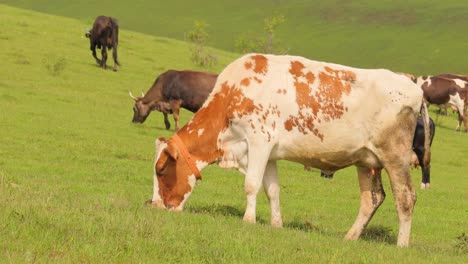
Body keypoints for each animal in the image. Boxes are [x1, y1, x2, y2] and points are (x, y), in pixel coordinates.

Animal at [148, 53, 430, 248]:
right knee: (372, 198)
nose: (155, 206)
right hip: (367, 161)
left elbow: (251, 184)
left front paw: (248, 220)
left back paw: (401, 245)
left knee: (406, 197)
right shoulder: (270, 152)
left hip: (395, 157)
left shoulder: (258, 141)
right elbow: (272, 189)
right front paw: (276, 224)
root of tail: (410, 82)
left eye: (161, 169)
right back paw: (350, 237)